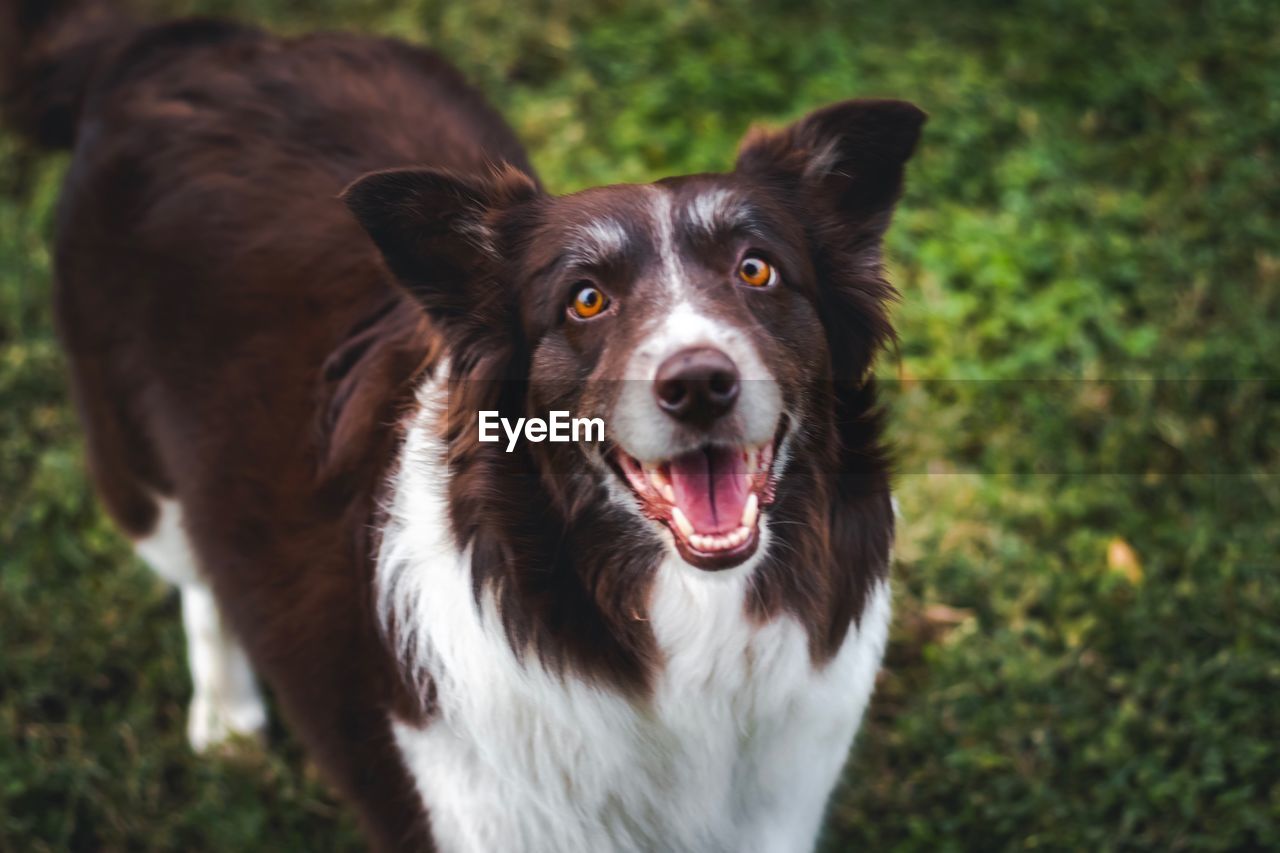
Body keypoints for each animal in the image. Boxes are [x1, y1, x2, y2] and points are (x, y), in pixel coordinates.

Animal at [0, 3, 921, 845]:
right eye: (586, 299)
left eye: (756, 270)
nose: (700, 386)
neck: (677, 621)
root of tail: (181, 41)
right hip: (137, 466)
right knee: (199, 569)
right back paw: (226, 714)